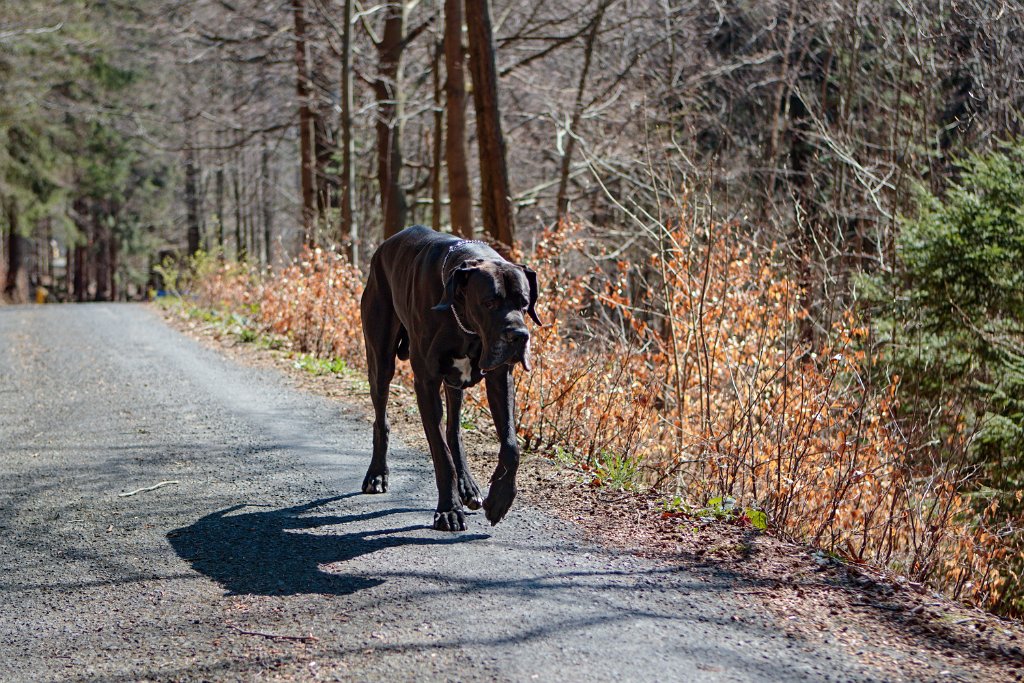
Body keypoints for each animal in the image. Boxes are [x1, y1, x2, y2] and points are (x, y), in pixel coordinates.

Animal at [360, 227, 540, 532]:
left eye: (525, 304)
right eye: (489, 303)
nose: (519, 336)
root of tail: (383, 248)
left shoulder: (500, 377)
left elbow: (511, 445)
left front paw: (500, 498)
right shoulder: (426, 382)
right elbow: (441, 455)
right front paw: (448, 510)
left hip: (455, 383)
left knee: (453, 430)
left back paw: (468, 486)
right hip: (381, 358)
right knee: (381, 419)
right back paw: (377, 475)